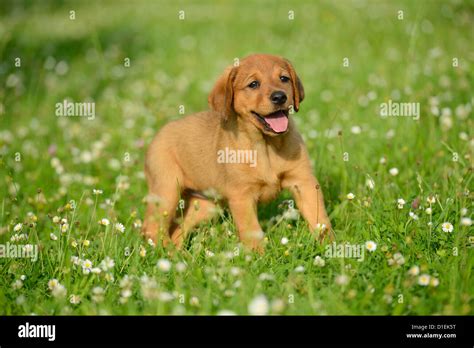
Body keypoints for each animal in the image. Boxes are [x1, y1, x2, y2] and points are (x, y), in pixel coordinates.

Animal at [143, 53, 332, 250]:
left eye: (284, 78)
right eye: (253, 84)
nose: (280, 97)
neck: (266, 146)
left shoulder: (304, 182)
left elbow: (320, 219)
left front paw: (329, 247)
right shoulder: (242, 196)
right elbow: (252, 232)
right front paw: (258, 256)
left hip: (205, 205)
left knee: (177, 229)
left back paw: (177, 254)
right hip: (167, 190)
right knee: (152, 227)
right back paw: (164, 251)